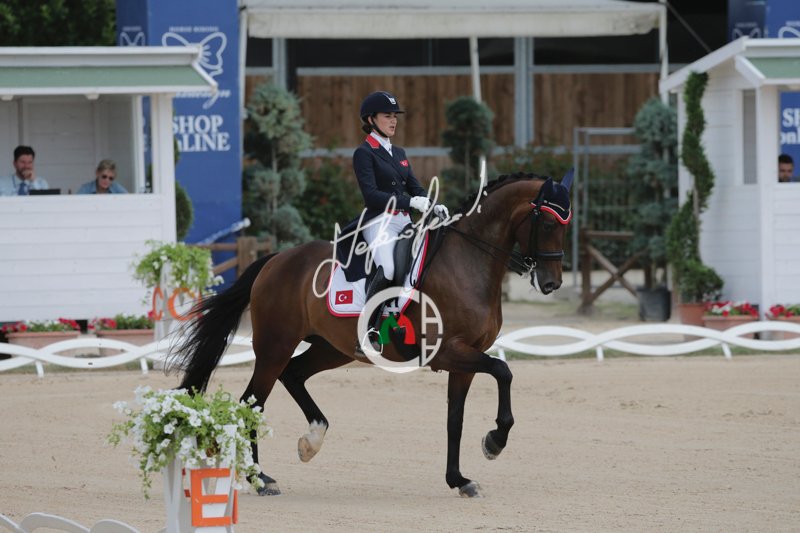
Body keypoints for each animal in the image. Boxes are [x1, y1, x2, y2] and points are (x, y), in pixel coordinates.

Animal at [169, 171, 573, 498]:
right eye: (547, 224)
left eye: (565, 225)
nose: (551, 283)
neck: (468, 261)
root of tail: (276, 259)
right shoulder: (447, 352)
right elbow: (504, 371)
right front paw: (495, 442)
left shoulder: (465, 359)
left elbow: (454, 420)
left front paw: (459, 480)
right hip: (274, 347)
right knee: (251, 403)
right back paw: (261, 479)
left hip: (332, 348)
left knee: (294, 375)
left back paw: (311, 441)